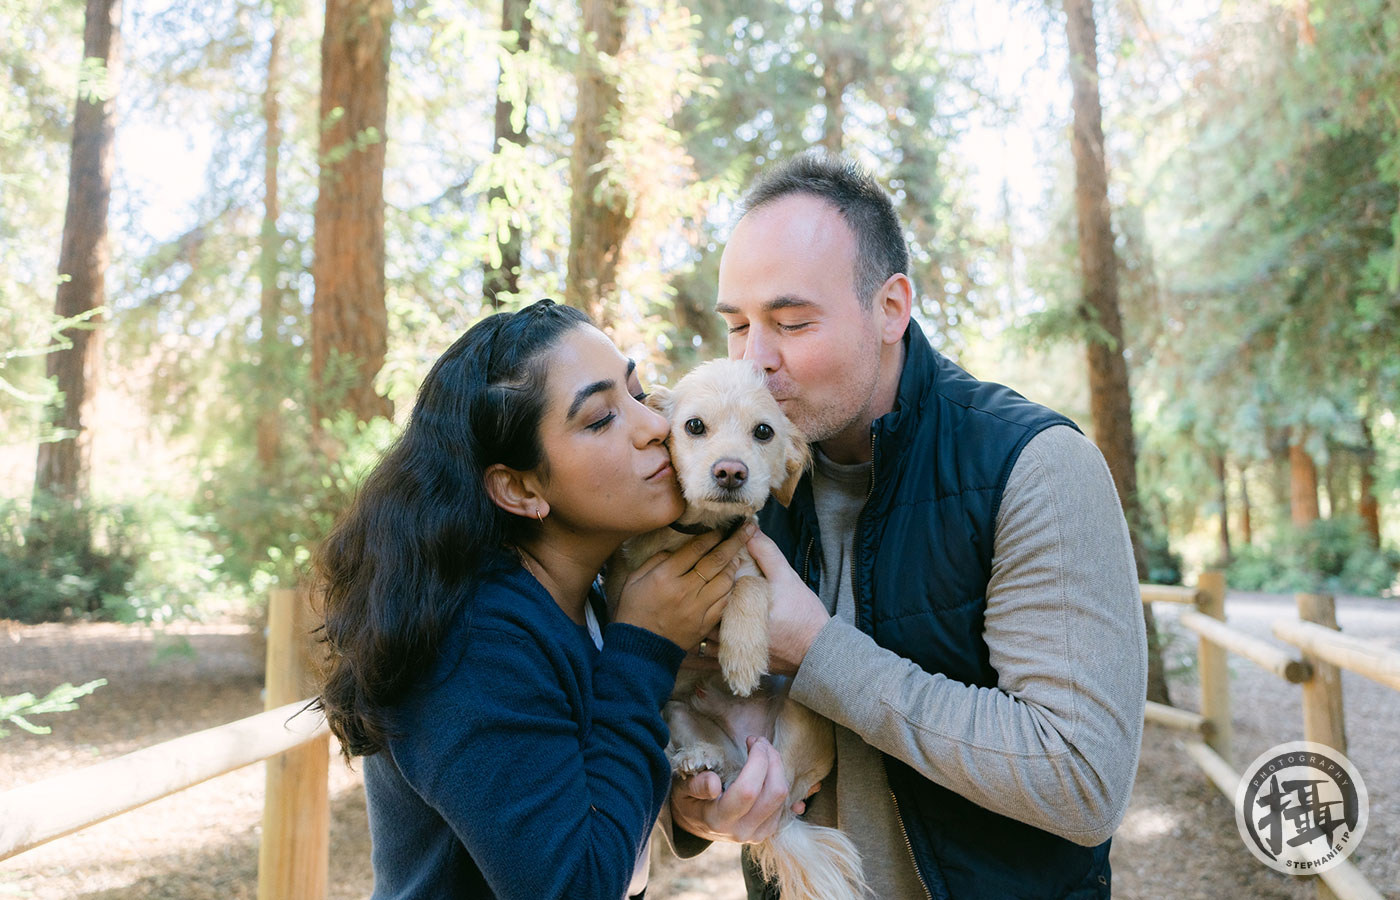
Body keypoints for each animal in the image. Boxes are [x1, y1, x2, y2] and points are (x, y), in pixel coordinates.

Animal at [604, 358, 862, 900]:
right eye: (693, 426)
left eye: (763, 432)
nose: (730, 471)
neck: (698, 531)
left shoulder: (756, 563)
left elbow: (746, 585)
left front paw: (741, 657)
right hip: (679, 710)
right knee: (708, 763)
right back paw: (694, 760)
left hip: (798, 715)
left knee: (779, 775)